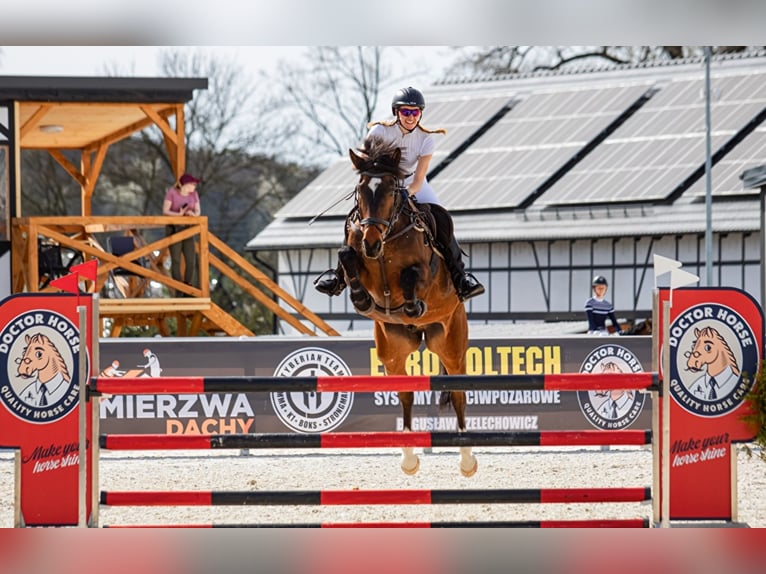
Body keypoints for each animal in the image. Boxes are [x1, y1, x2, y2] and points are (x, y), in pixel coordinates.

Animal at [338, 136, 477, 477]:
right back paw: (409, 457)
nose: (371, 243)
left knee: (458, 393)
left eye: (391, 190)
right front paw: (361, 299)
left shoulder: (424, 273)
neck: (387, 237)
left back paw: (466, 459)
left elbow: (412, 276)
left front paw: (412, 306)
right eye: (360, 190)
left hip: (451, 343)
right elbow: (346, 256)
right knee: (405, 393)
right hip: (393, 349)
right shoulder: (358, 255)